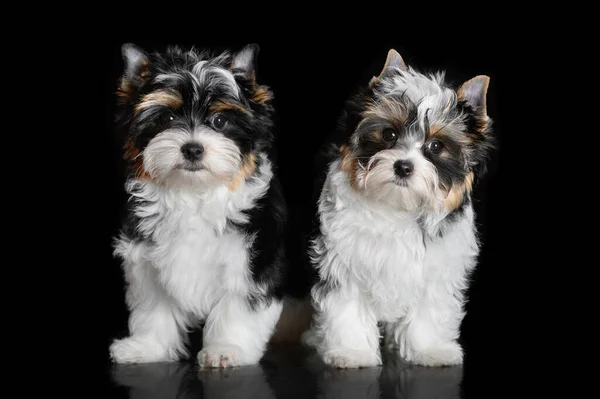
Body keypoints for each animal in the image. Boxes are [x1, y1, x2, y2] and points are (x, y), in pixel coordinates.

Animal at [110, 41, 296, 368]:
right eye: (167, 119)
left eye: (219, 121)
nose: (193, 149)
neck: (193, 193)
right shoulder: (145, 260)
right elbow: (153, 305)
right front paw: (147, 347)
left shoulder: (251, 259)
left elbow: (238, 305)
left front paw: (226, 348)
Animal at [304, 48, 496, 368]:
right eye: (389, 135)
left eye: (436, 146)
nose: (403, 166)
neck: (398, 205)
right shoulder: (343, 260)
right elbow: (347, 304)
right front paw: (352, 352)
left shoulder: (437, 266)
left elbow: (430, 308)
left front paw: (430, 349)